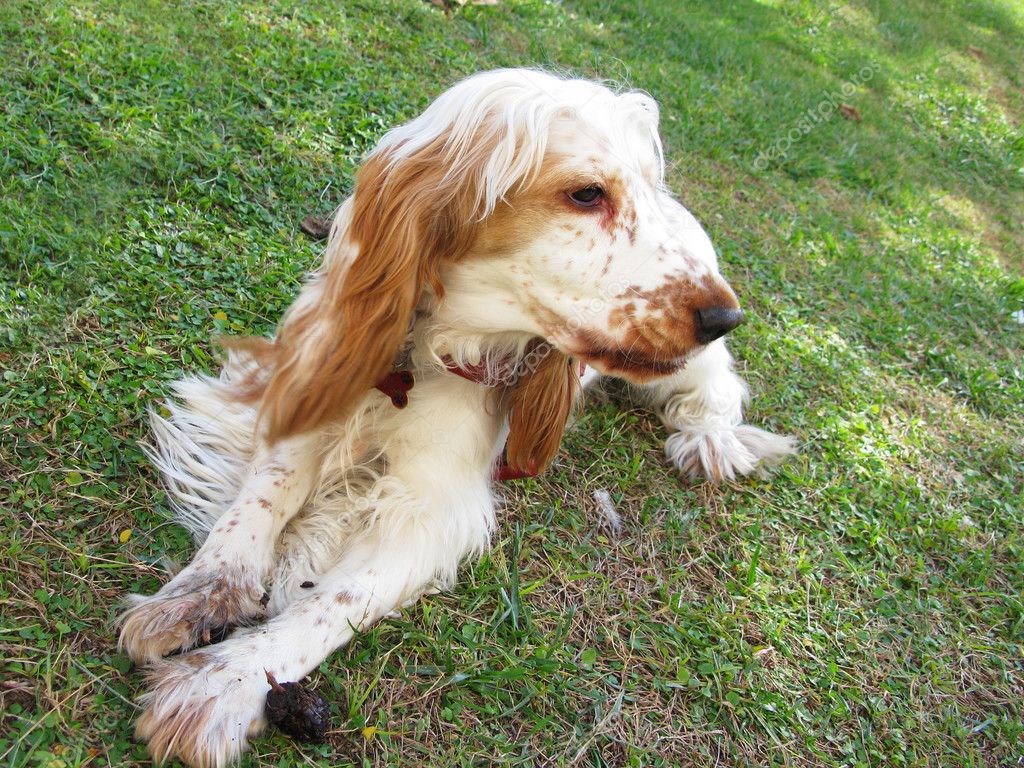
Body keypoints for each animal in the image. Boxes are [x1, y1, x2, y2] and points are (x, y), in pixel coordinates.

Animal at [117, 69, 790, 765]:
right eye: (586, 193)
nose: (724, 316)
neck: (428, 353)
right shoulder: (315, 391)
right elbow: (258, 503)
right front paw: (198, 593)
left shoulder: (430, 514)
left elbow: (330, 603)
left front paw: (222, 684)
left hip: (688, 368)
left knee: (717, 389)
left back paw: (710, 441)